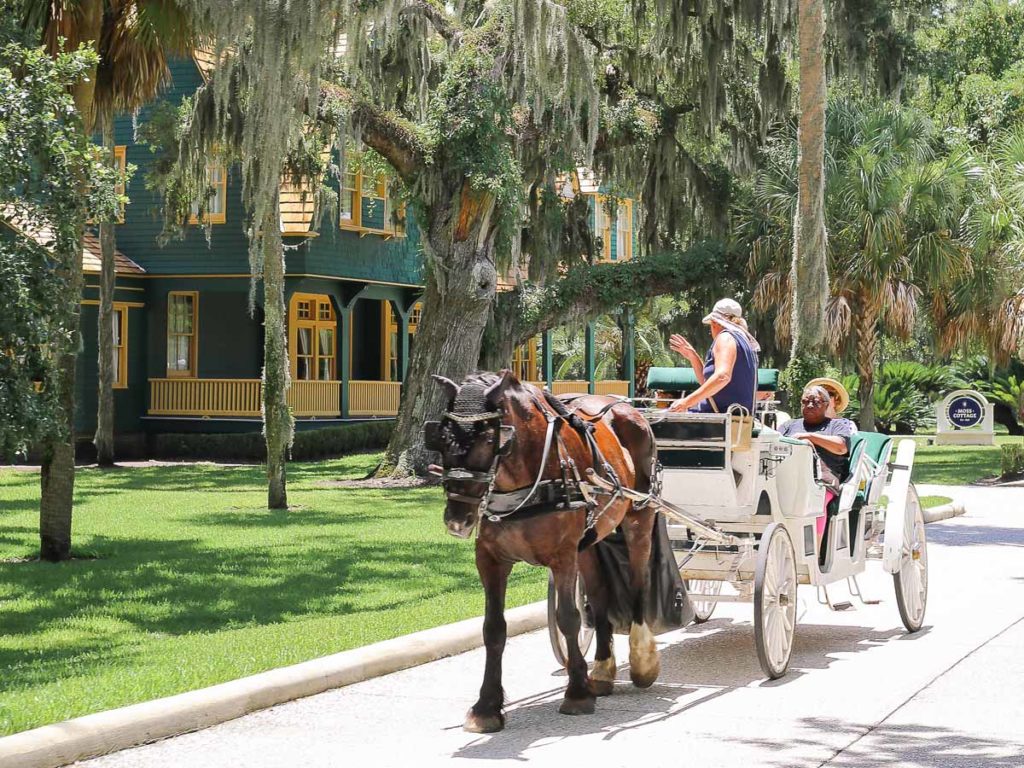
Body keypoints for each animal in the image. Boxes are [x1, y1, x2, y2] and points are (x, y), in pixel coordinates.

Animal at [425, 370, 659, 733]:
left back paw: (642, 660)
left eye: (489, 441)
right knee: (599, 595)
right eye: (441, 437)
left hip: (639, 517)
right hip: (590, 542)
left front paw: (576, 693)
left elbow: (568, 618)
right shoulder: (490, 560)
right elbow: (493, 628)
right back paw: (602, 668)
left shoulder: (562, 556)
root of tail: (623, 406)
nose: (457, 520)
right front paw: (486, 706)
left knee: (638, 583)